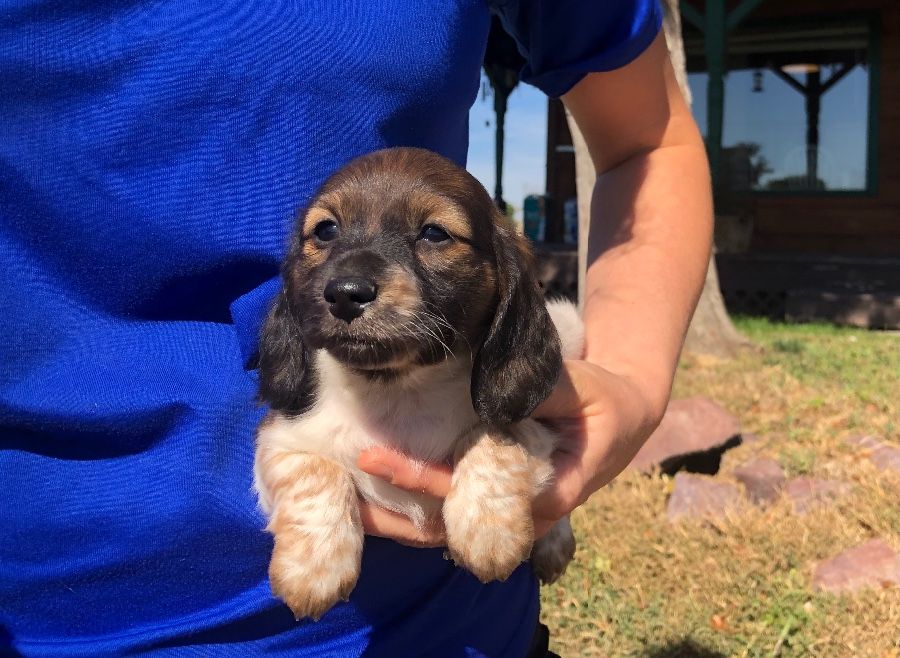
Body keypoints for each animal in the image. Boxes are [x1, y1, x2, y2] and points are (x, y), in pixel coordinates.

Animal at [253, 146, 584, 616]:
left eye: (434, 234)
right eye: (326, 230)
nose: (345, 293)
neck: (397, 389)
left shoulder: (529, 428)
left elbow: (492, 438)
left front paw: (489, 533)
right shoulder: (278, 440)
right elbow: (314, 471)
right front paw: (314, 570)